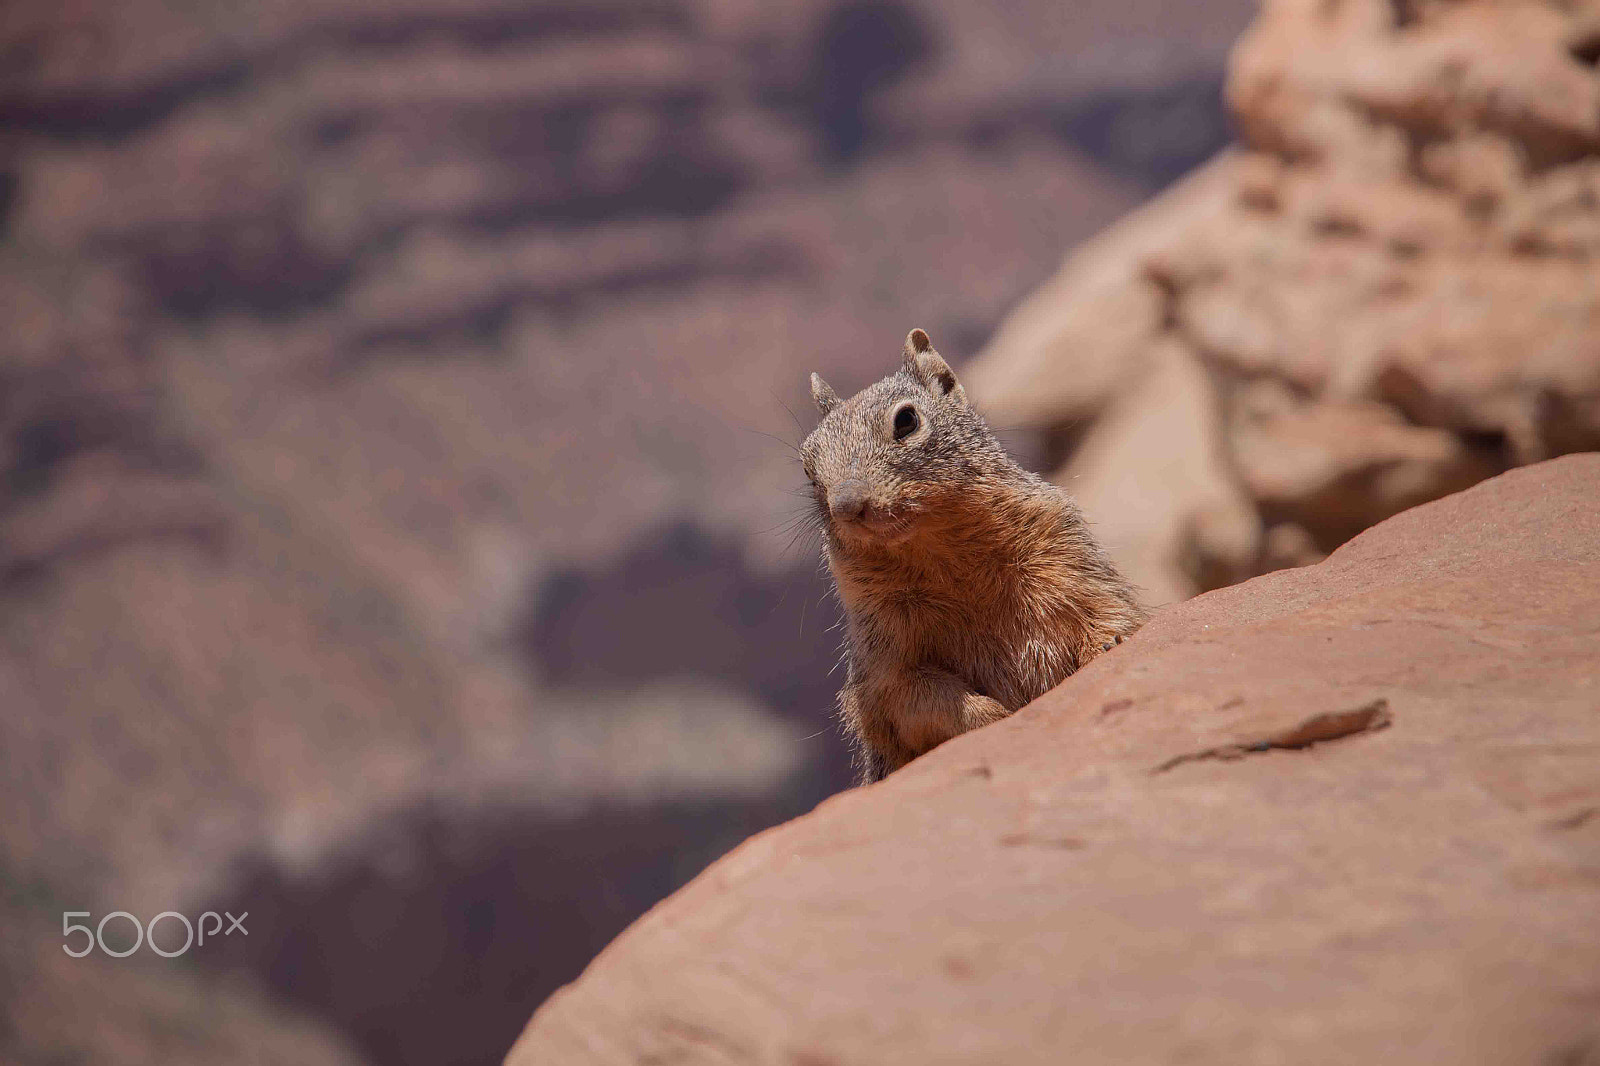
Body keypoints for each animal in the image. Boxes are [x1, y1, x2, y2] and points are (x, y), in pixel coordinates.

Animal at [802, 328, 1146, 784]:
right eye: (808, 468)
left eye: (906, 421)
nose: (845, 505)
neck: (945, 559)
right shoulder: (881, 652)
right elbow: (914, 699)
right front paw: (994, 716)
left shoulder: (1067, 558)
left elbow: (1109, 609)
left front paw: (1110, 642)